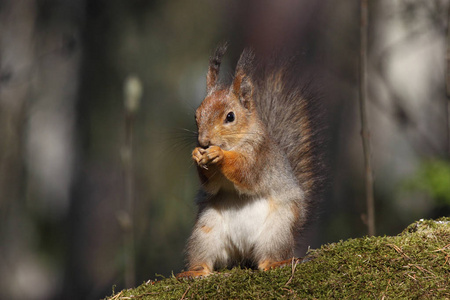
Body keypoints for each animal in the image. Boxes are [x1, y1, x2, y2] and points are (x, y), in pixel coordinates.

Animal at [178, 43, 326, 278]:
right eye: (196, 116)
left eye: (230, 117)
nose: (204, 142)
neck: (237, 143)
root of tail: (243, 251)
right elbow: (210, 184)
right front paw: (197, 154)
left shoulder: (259, 158)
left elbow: (245, 173)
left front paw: (220, 156)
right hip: (206, 230)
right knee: (205, 259)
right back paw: (195, 271)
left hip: (278, 230)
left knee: (267, 258)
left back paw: (276, 263)